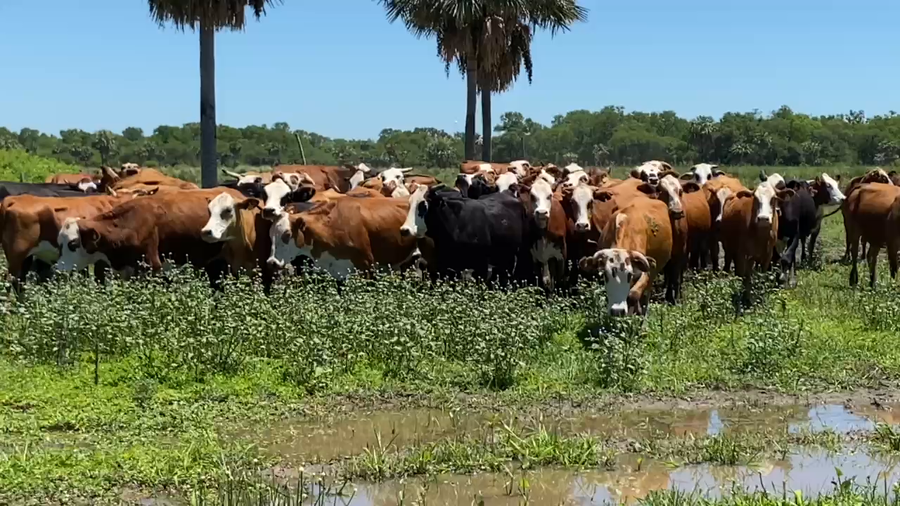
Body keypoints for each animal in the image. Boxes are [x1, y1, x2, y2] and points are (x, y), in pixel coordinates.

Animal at [0, 194, 133, 291]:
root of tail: (14, 198)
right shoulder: (101, 259)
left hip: (26, 258)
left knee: (19, 281)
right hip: (17, 255)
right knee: (9, 280)